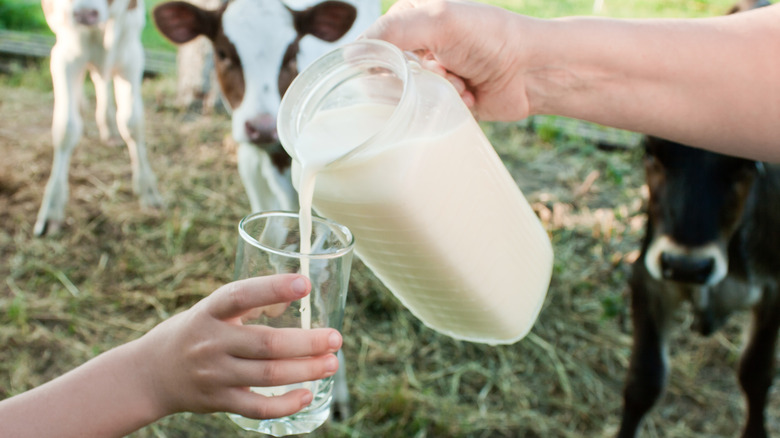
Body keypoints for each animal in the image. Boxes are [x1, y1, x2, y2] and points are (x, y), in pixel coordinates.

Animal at [37, 0, 163, 236]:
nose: (85, 14)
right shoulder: (64, 56)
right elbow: (66, 127)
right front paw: (52, 207)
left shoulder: (131, 55)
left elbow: (132, 122)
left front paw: (148, 190)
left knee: (100, 79)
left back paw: (110, 130)